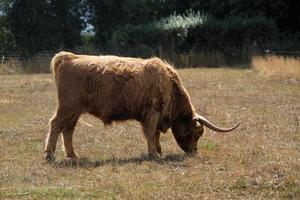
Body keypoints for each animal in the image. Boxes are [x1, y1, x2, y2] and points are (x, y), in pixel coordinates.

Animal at [44, 51, 240, 161]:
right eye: (197, 132)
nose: (193, 152)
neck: (170, 85)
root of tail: (68, 57)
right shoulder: (153, 113)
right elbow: (151, 134)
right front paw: (154, 154)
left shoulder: (156, 116)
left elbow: (156, 135)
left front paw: (159, 152)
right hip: (68, 108)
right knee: (56, 125)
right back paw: (49, 155)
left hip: (75, 111)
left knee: (68, 130)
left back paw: (72, 156)